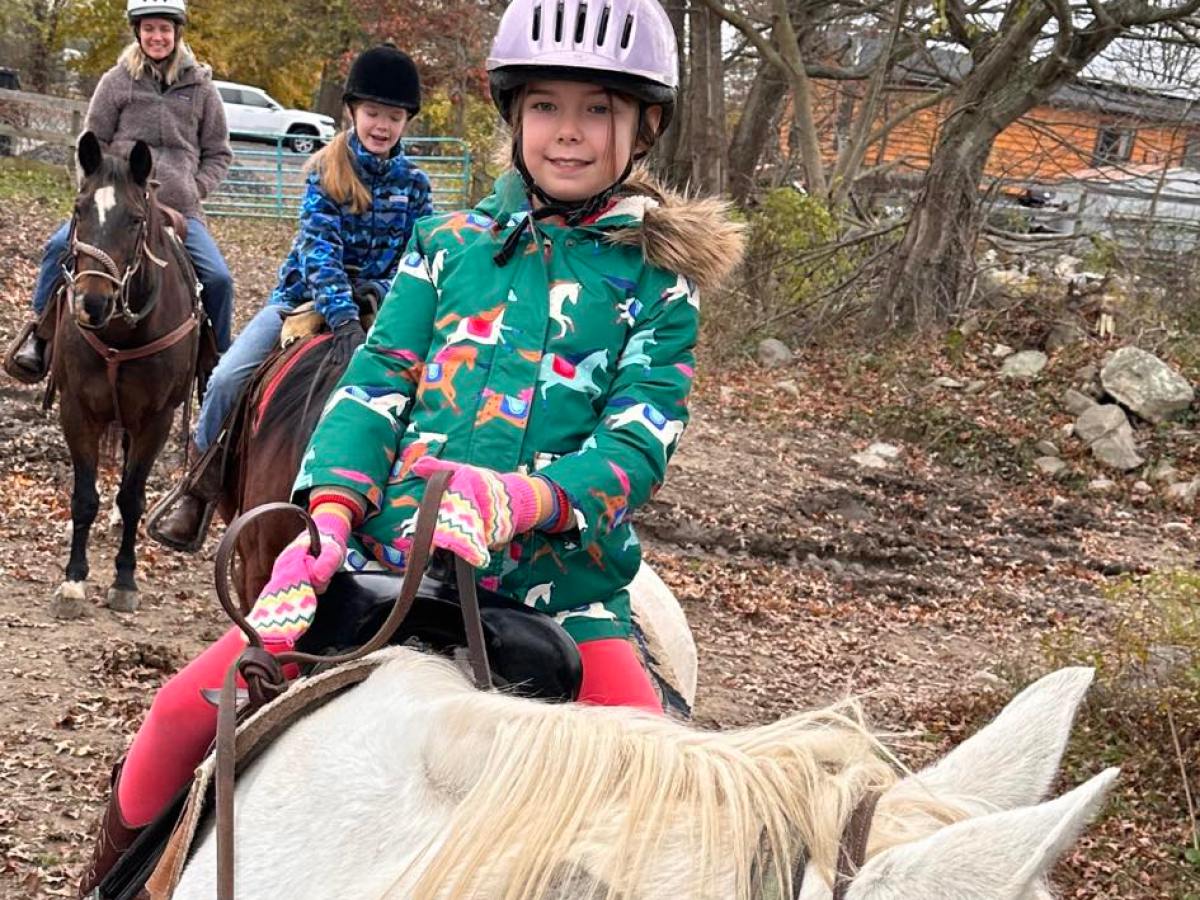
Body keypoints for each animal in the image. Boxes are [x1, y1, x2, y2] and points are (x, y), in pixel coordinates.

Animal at [49, 131, 207, 619]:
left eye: (136, 219)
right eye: (80, 208)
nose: (91, 302)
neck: (120, 331)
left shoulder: (156, 419)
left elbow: (133, 496)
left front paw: (124, 579)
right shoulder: (77, 410)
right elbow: (84, 497)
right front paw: (73, 580)